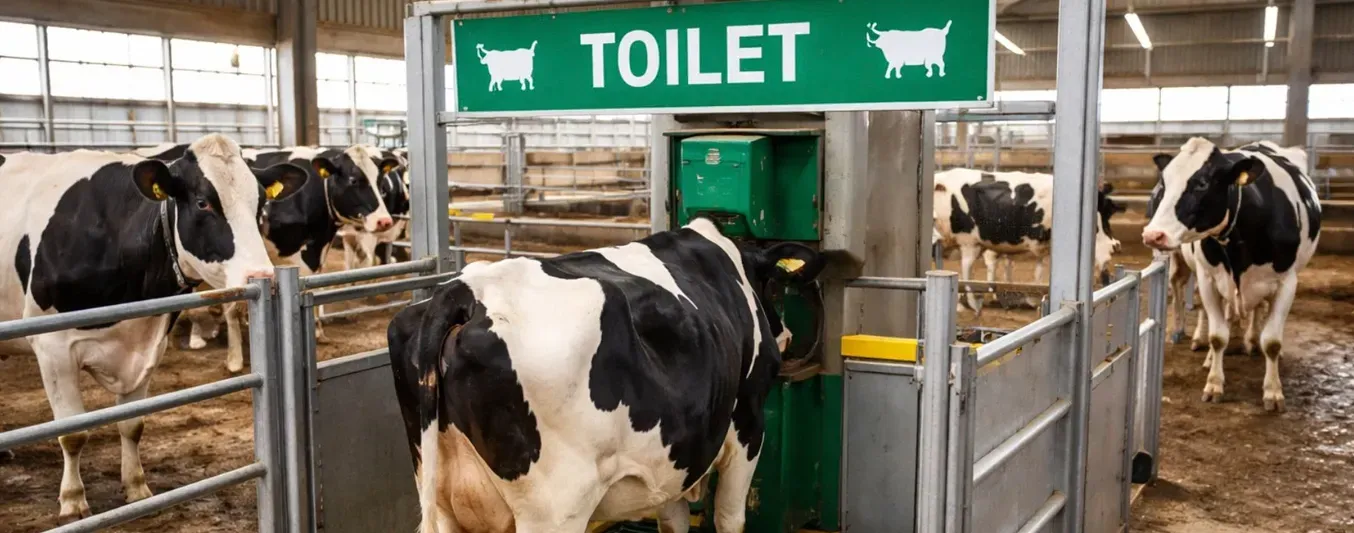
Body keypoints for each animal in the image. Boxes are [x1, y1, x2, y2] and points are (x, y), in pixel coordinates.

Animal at [0, 135, 307, 522]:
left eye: (261, 204)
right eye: (203, 202)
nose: (262, 276)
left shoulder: (149, 342)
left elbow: (132, 424)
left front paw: (136, 489)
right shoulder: (53, 347)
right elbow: (72, 432)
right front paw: (72, 500)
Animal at [387, 217, 824, 533]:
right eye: (771, 290)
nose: (786, 333)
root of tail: (466, 290)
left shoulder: (675, 453)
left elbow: (672, 516)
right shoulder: (747, 425)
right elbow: (729, 517)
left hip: (443, 498)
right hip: (555, 510)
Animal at [932, 168, 1126, 311]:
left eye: (1110, 211)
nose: (1116, 246)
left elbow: (1038, 270)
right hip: (968, 241)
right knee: (966, 268)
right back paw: (970, 303)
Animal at [1142, 138, 1321, 412]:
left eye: (1202, 183)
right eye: (1165, 182)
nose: (1153, 235)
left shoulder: (1287, 282)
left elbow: (1272, 341)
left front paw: (1273, 392)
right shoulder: (1208, 278)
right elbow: (1218, 336)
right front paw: (1214, 384)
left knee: (1257, 310)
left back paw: (1250, 340)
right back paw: (1198, 343)